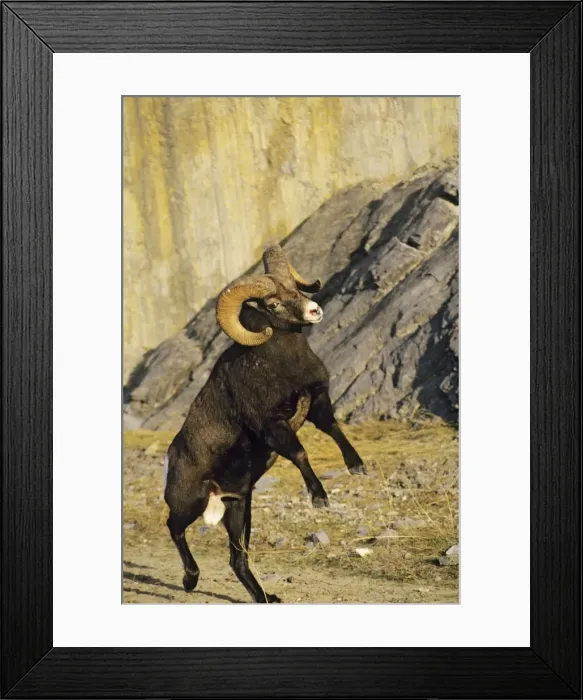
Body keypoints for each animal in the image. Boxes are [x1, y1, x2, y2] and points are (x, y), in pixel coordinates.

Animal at [164, 245, 366, 603]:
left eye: (296, 289)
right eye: (272, 304)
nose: (314, 311)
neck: (284, 365)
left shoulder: (317, 403)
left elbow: (333, 429)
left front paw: (357, 466)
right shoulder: (272, 427)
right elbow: (299, 454)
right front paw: (319, 498)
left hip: (238, 509)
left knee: (237, 559)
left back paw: (265, 598)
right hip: (190, 502)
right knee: (174, 527)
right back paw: (190, 580)